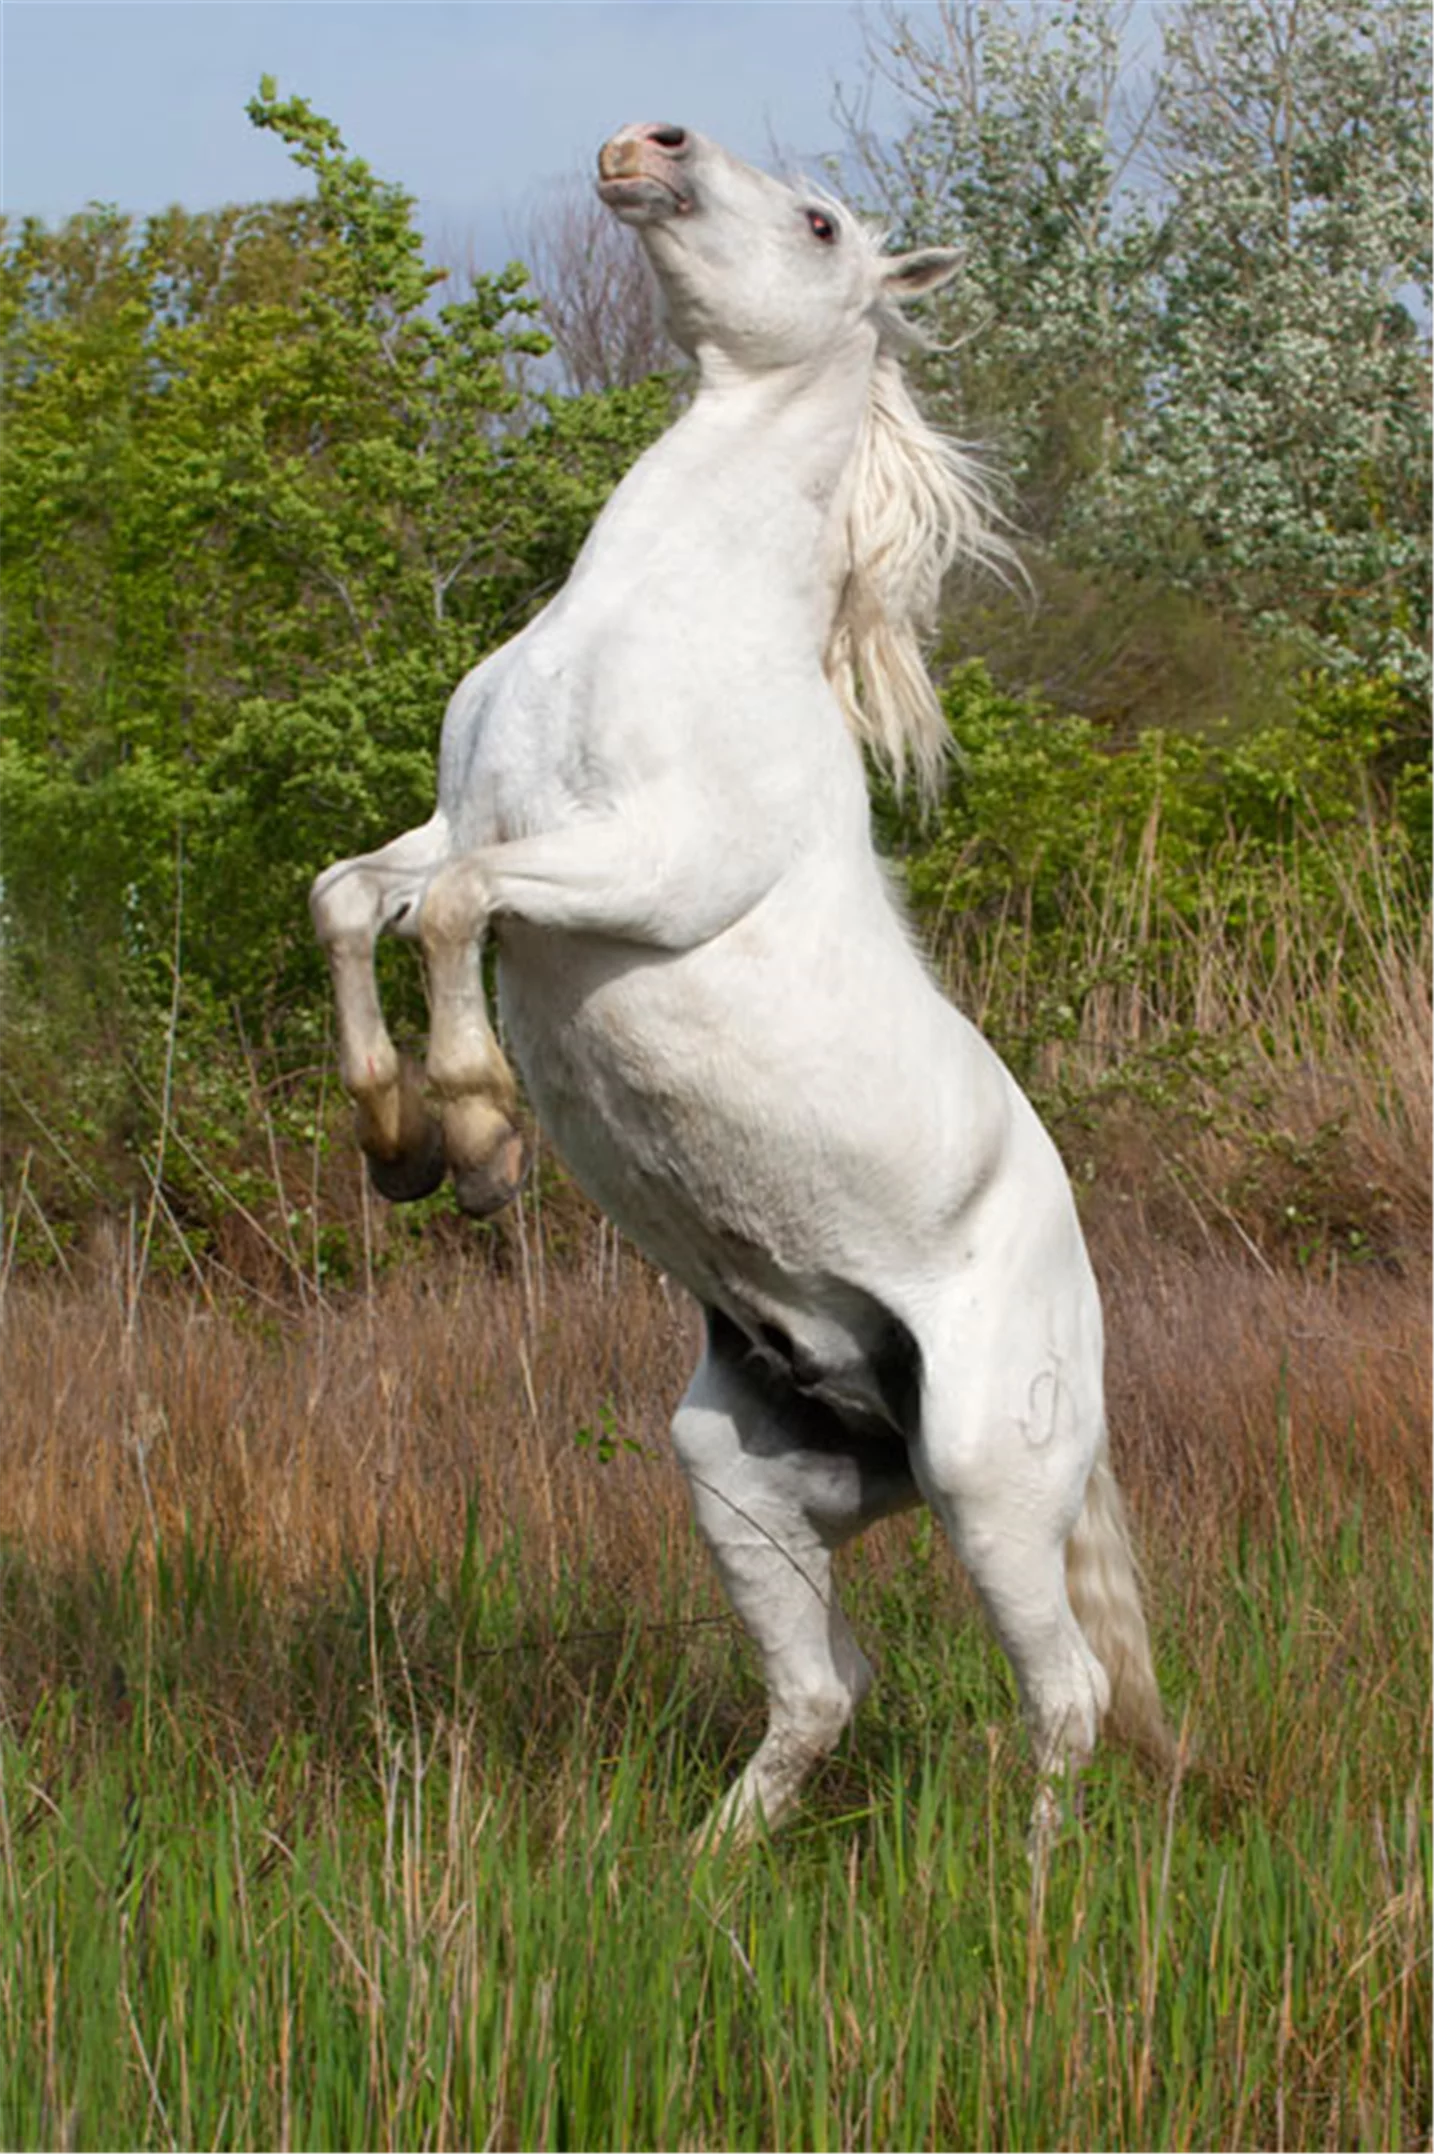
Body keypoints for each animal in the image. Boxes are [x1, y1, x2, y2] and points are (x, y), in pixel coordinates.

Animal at [307, 126, 1171, 1843]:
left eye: (823, 220)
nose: (645, 148)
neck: (650, 617)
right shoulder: (462, 817)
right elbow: (353, 899)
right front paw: (392, 1139)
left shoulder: (641, 867)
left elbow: (451, 914)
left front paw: (477, 1139)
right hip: (738, 1476)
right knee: (825, 1687)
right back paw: (700, 1861)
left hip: (990, 1481)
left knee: (1066, 1697)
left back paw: (1030, 1881)